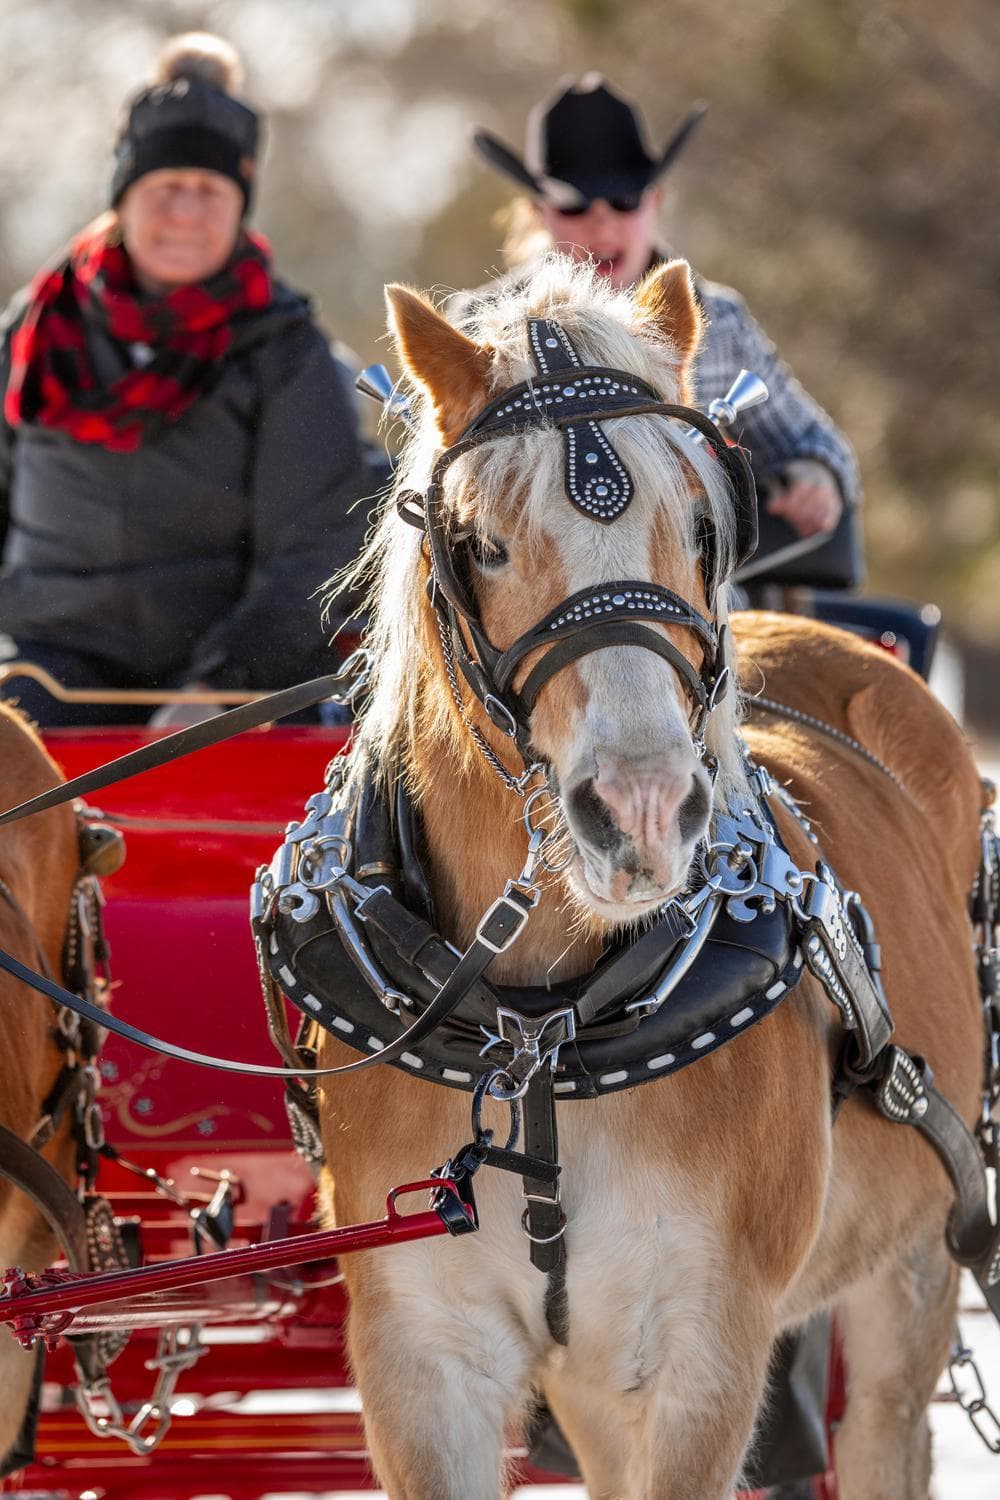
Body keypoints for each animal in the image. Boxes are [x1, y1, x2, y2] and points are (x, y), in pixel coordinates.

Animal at [314, 254, 985, 1499]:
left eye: (700, 526)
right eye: (481, 544)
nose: (639, 811)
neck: (541, 1023)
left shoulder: (701, 1346)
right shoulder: (421, 1353)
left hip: (914, 1260)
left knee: (885, 1421)